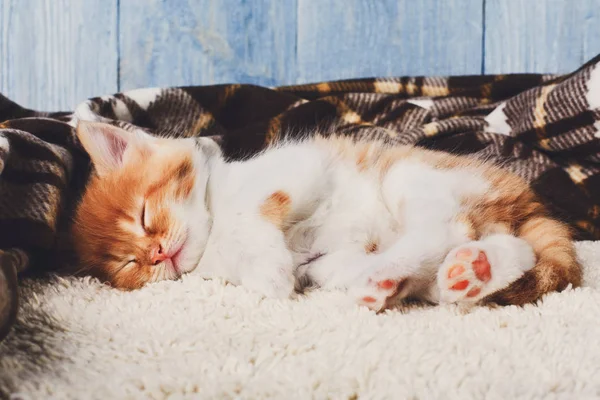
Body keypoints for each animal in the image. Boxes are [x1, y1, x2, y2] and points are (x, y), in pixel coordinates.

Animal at [71, 121, 580, 310]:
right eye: (129, 265)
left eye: (142, 216)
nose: (156, 254)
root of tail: (528, 199)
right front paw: (270, 273)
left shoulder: (300, 166)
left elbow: (250, 215)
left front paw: (270, 271)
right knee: (505, 254)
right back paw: (465, 273)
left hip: (410, 174)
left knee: (445, 227)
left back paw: (398, 272)